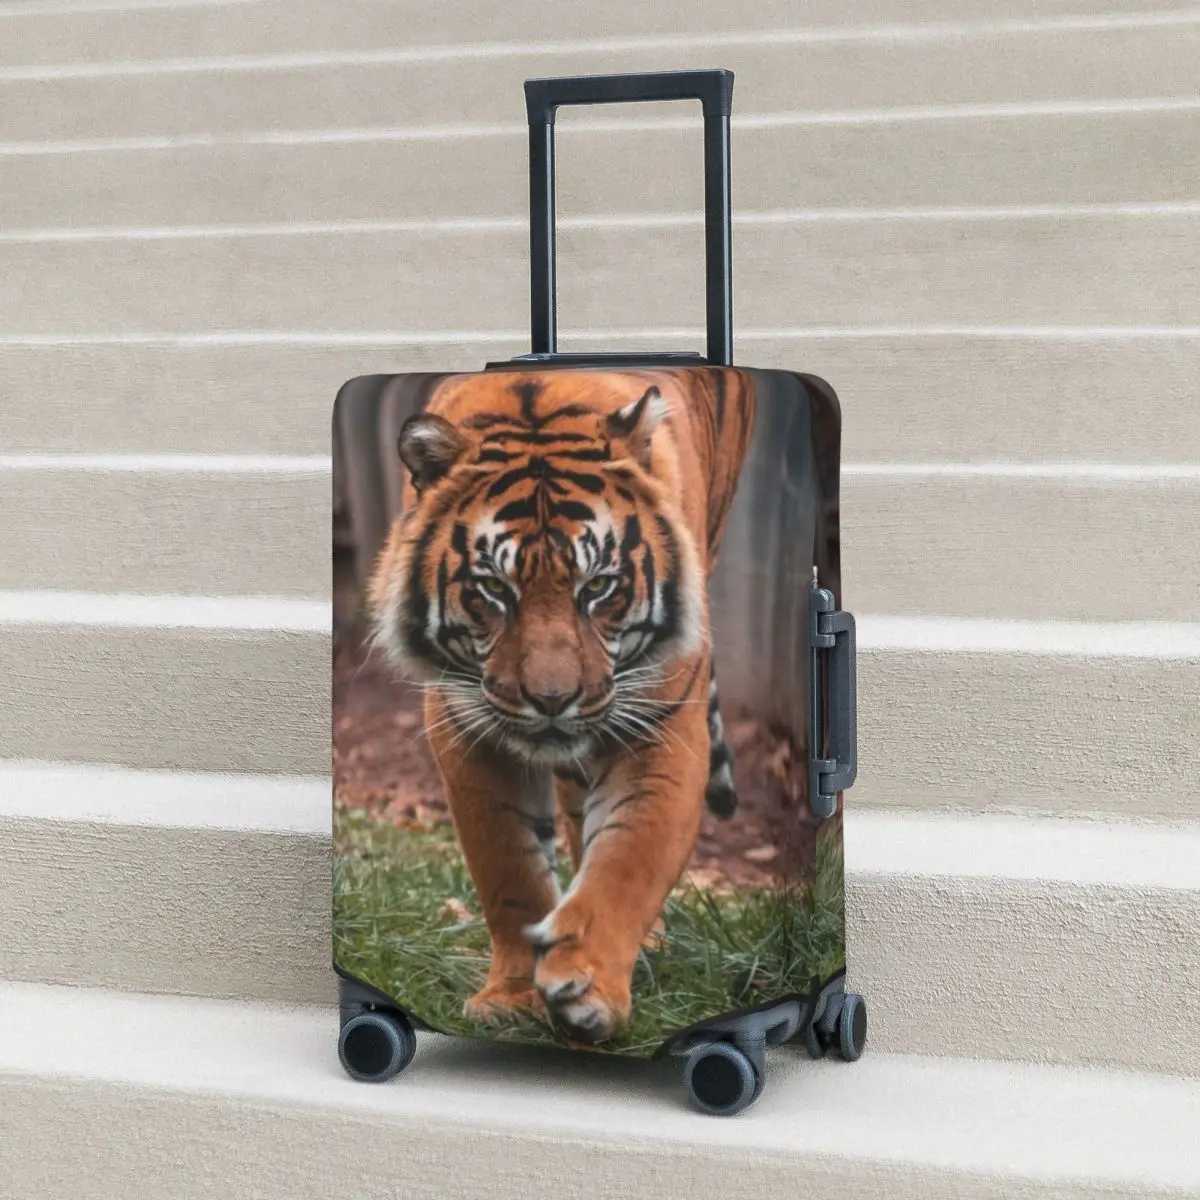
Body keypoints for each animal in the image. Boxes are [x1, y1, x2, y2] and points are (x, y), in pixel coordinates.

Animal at [369, 368, 756, 1044]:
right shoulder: (465, 726)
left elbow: (627, 859)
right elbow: (509, 868)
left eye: (597, 586)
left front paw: (586, 985)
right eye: (493, 588)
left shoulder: (662, 727)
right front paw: (513, 995)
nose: (552, 700)